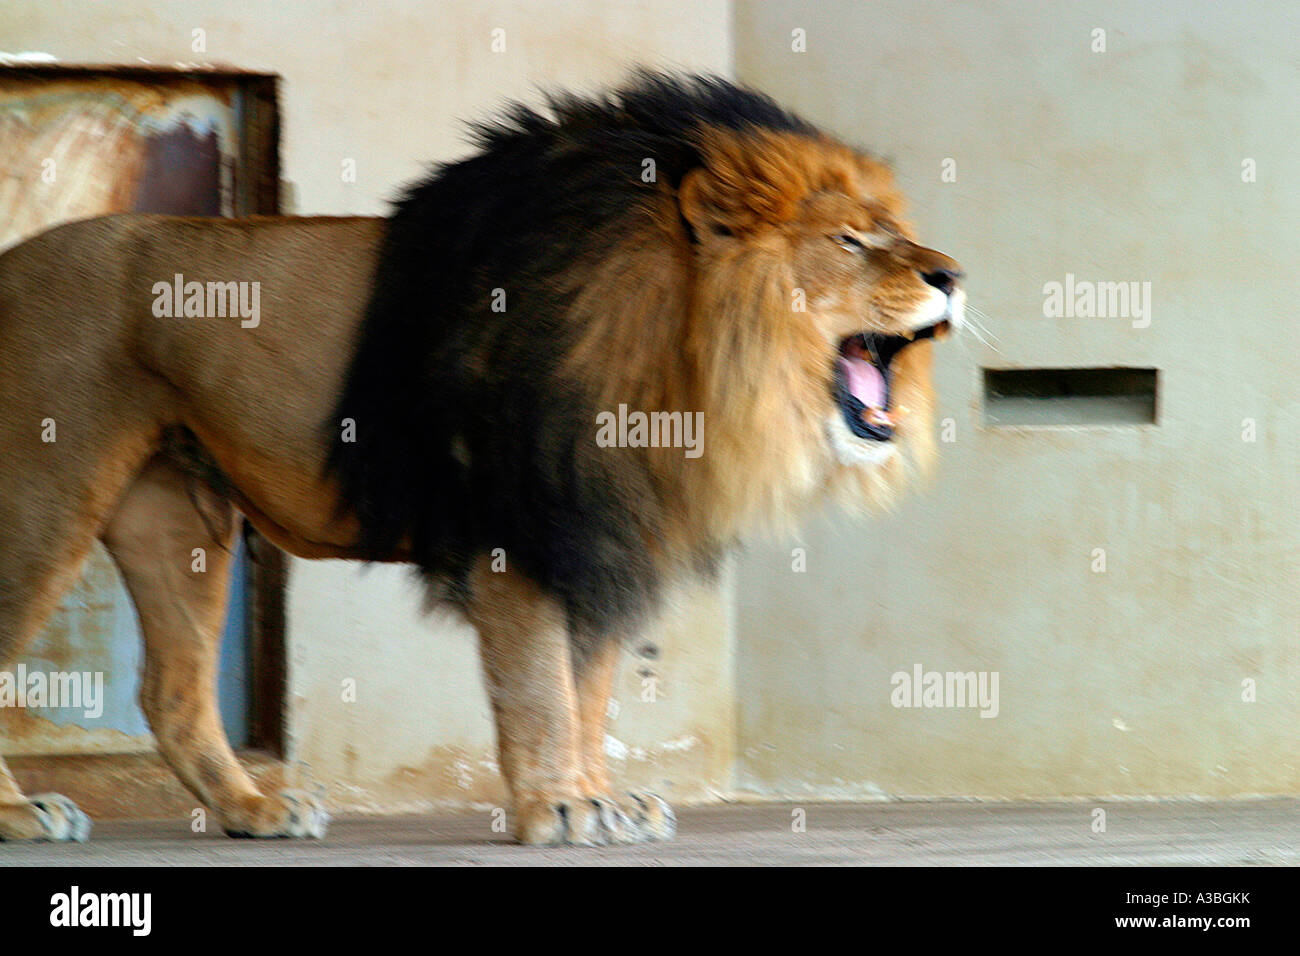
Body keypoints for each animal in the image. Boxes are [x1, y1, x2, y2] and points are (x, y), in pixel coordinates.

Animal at [0, 73, 962, 846]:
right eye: (850, 241)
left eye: (893, 231)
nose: (952, 276)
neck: (684, 360)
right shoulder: (523, 525)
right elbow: (542, 684)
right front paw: (560, 808)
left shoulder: (604, 534)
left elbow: (591, 686)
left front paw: (602, 798)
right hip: (44, 493)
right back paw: (27, 814)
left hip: (179, 514)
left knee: (172, 689)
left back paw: (255, 810)